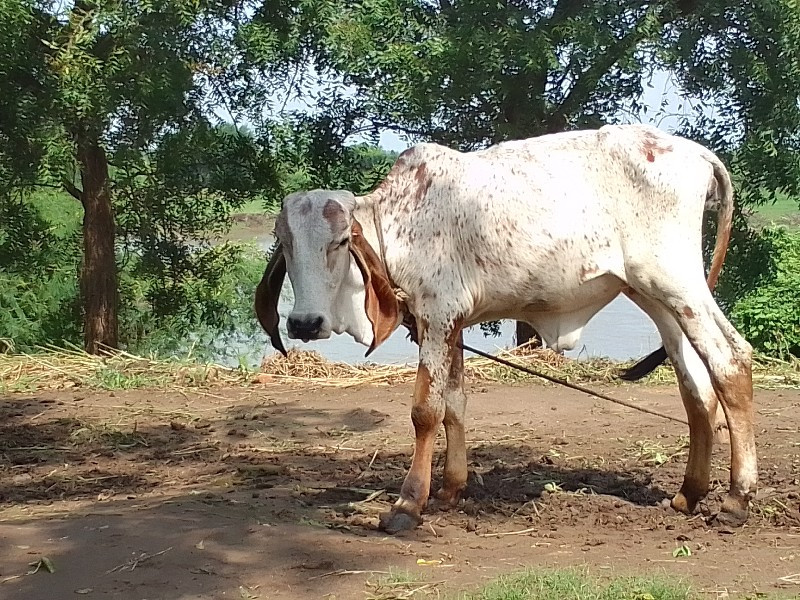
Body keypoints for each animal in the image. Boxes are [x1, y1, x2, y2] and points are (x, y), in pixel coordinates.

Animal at [256, 123, 756, 536]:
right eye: (285, 241)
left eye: (341, 241)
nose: (304, 323)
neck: (399, 223)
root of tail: (698, 154)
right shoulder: (452, 325)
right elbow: (455, 405)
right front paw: (451, 489)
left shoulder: (437, 316)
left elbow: (426, 412)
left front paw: (408, 504)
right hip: (655, 297)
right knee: (696, 385)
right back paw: (689, 493)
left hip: (678, 283)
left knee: (730, 361)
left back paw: (736, 500)